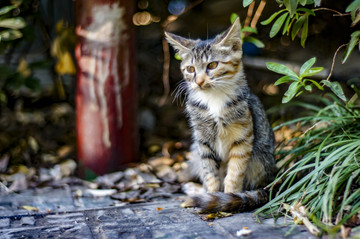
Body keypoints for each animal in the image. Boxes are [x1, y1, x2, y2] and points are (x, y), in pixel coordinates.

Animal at [165, 18, 276, 212]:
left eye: (212, 65)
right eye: (190, 69)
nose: (199, 81)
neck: (214, 100)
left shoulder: (243, 137)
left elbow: (234, 173)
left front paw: (229, 198)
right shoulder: (202, 141)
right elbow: (210, 173)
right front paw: (212, 195)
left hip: (261, 159)